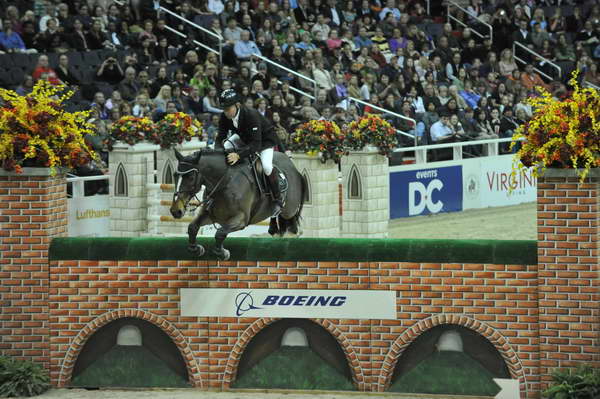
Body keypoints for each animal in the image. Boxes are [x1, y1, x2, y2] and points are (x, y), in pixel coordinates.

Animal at [170, 148, 308, 260]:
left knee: (291, 219)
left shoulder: (240, 220)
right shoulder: (211, 215)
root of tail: (293, 167)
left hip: (289, 208)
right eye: (175, 175)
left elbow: (220, 233)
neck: (225, 182)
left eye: (191, 177)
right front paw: (196, 249)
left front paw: (222, 253)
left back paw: (291, 233)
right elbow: (192, 227)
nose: (175, 211)